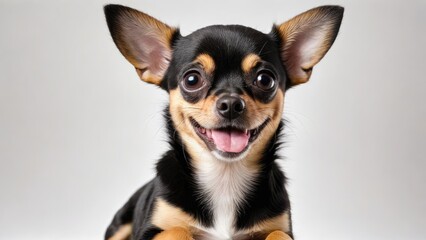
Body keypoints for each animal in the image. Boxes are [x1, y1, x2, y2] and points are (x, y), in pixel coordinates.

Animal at [103, 4, 342, 240]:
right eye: (192, 80)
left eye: (265, 80)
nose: (231, 104)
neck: (225, 176)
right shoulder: (150, 231)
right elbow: (178, 229)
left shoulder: (280, 226)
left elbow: (278, 235)